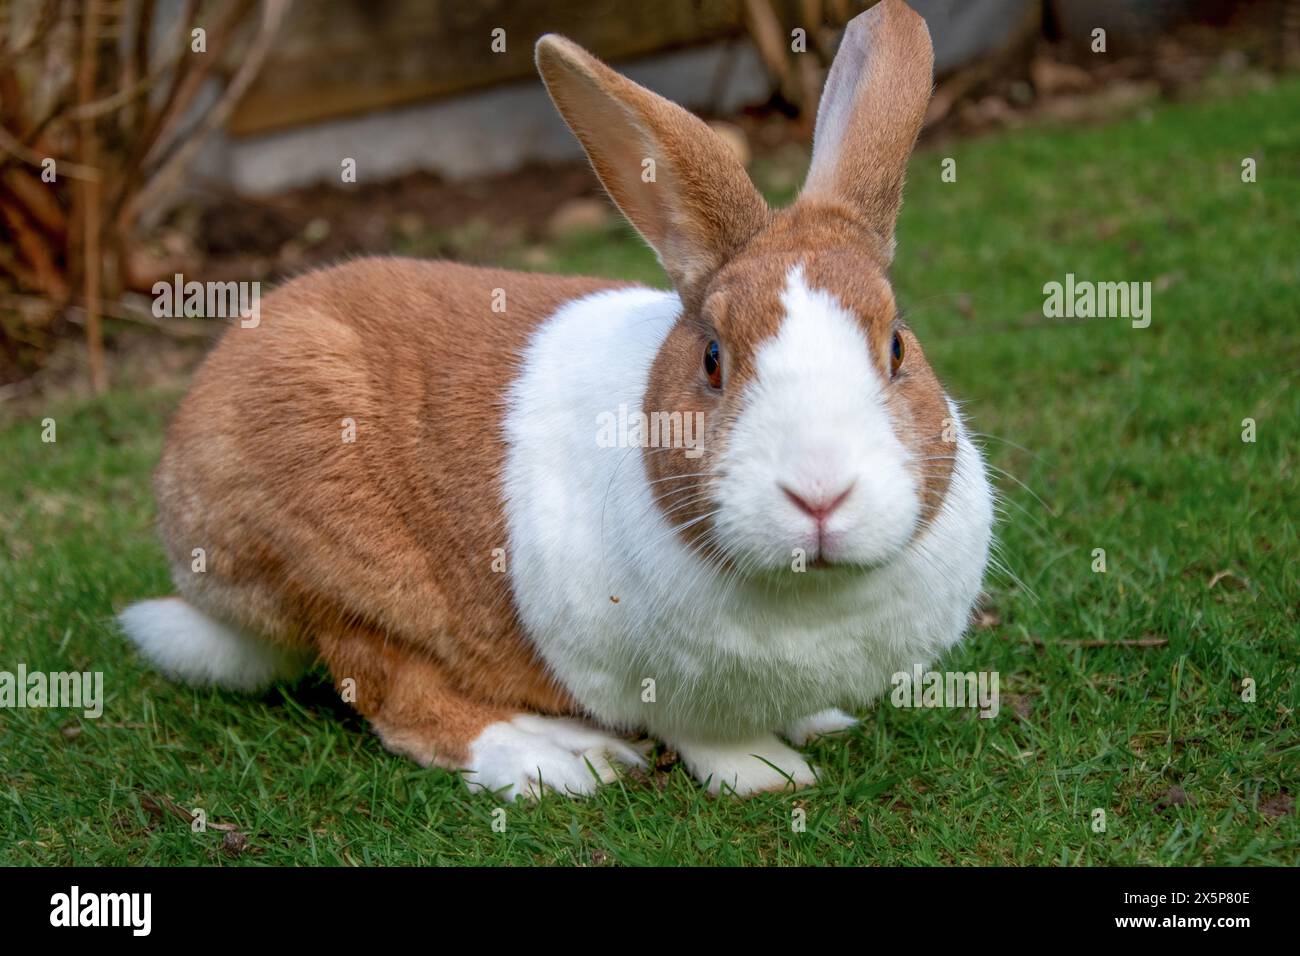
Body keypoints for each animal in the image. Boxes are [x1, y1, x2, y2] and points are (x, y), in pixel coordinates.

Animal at [120, 0, 993, 799]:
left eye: (897, 348)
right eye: (713, 360)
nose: (820, 494)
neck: (814, 593)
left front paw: (821, 722)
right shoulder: (647, 678)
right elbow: (708, 736)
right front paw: (768, 774)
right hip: (340, 569)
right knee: (398, 692)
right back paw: (562, 760)